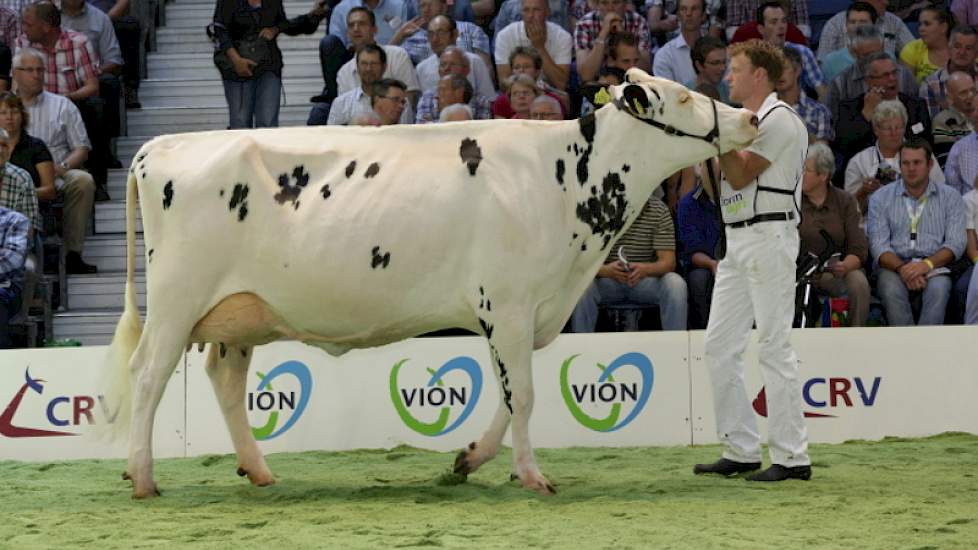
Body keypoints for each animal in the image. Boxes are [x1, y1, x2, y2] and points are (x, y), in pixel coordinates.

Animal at [110, 70, 760, 500]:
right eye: (683, 96)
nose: (750, 117)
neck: (565, 180)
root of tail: (161, 145)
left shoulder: (522, 314)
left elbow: (509, 397)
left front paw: (469, 459)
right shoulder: (509, 304)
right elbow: (524, 396)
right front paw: (533, 476)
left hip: (239, 313)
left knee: (224, 378)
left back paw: (259, 470)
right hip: (176, 301)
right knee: (148, 375)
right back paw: (142, 476)